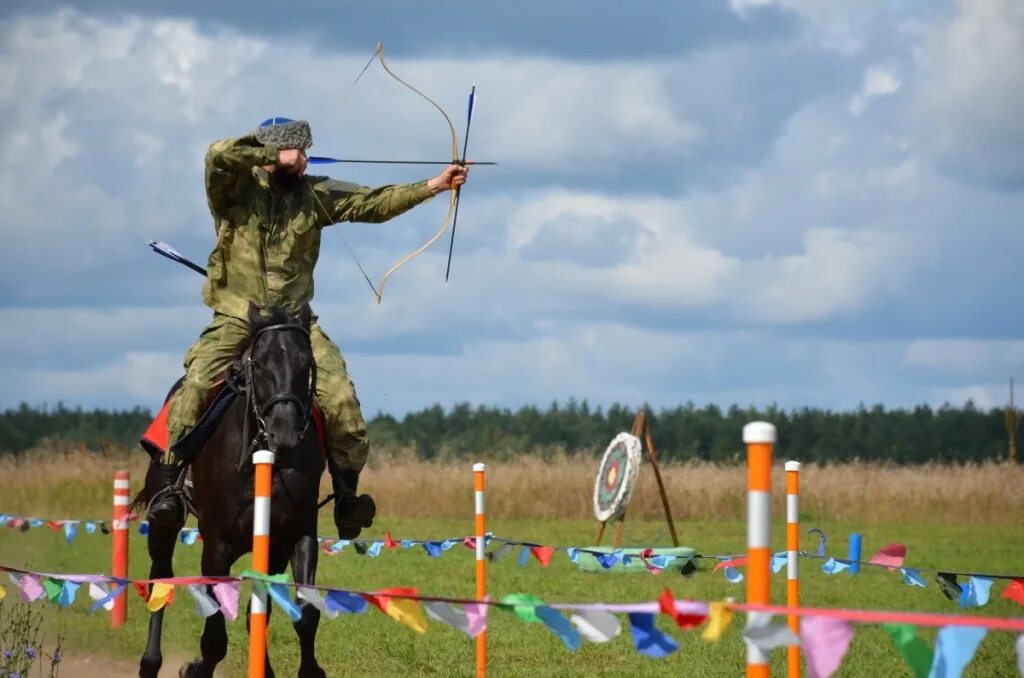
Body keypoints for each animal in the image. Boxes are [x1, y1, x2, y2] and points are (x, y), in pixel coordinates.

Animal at [136, 307, 325, 678]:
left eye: (305, 363)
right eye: (260, 363)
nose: (283, 433)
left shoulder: (293, 537)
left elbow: (303, 614)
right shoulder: (216, 546)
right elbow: (214, 636)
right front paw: (194, 669)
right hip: (164, 527)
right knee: (160, 579)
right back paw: (150, 663)